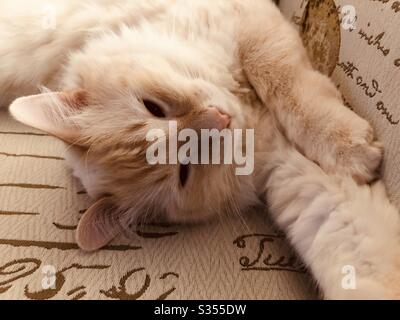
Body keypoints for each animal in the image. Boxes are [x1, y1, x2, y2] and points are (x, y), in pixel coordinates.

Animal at [2, 0, 400, 300]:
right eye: (184, 174)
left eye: (153, 107)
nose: (221, 119)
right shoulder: (290, 172)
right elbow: (356, 247)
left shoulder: (247, 22)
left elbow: (284, 83)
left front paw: (346, 144)